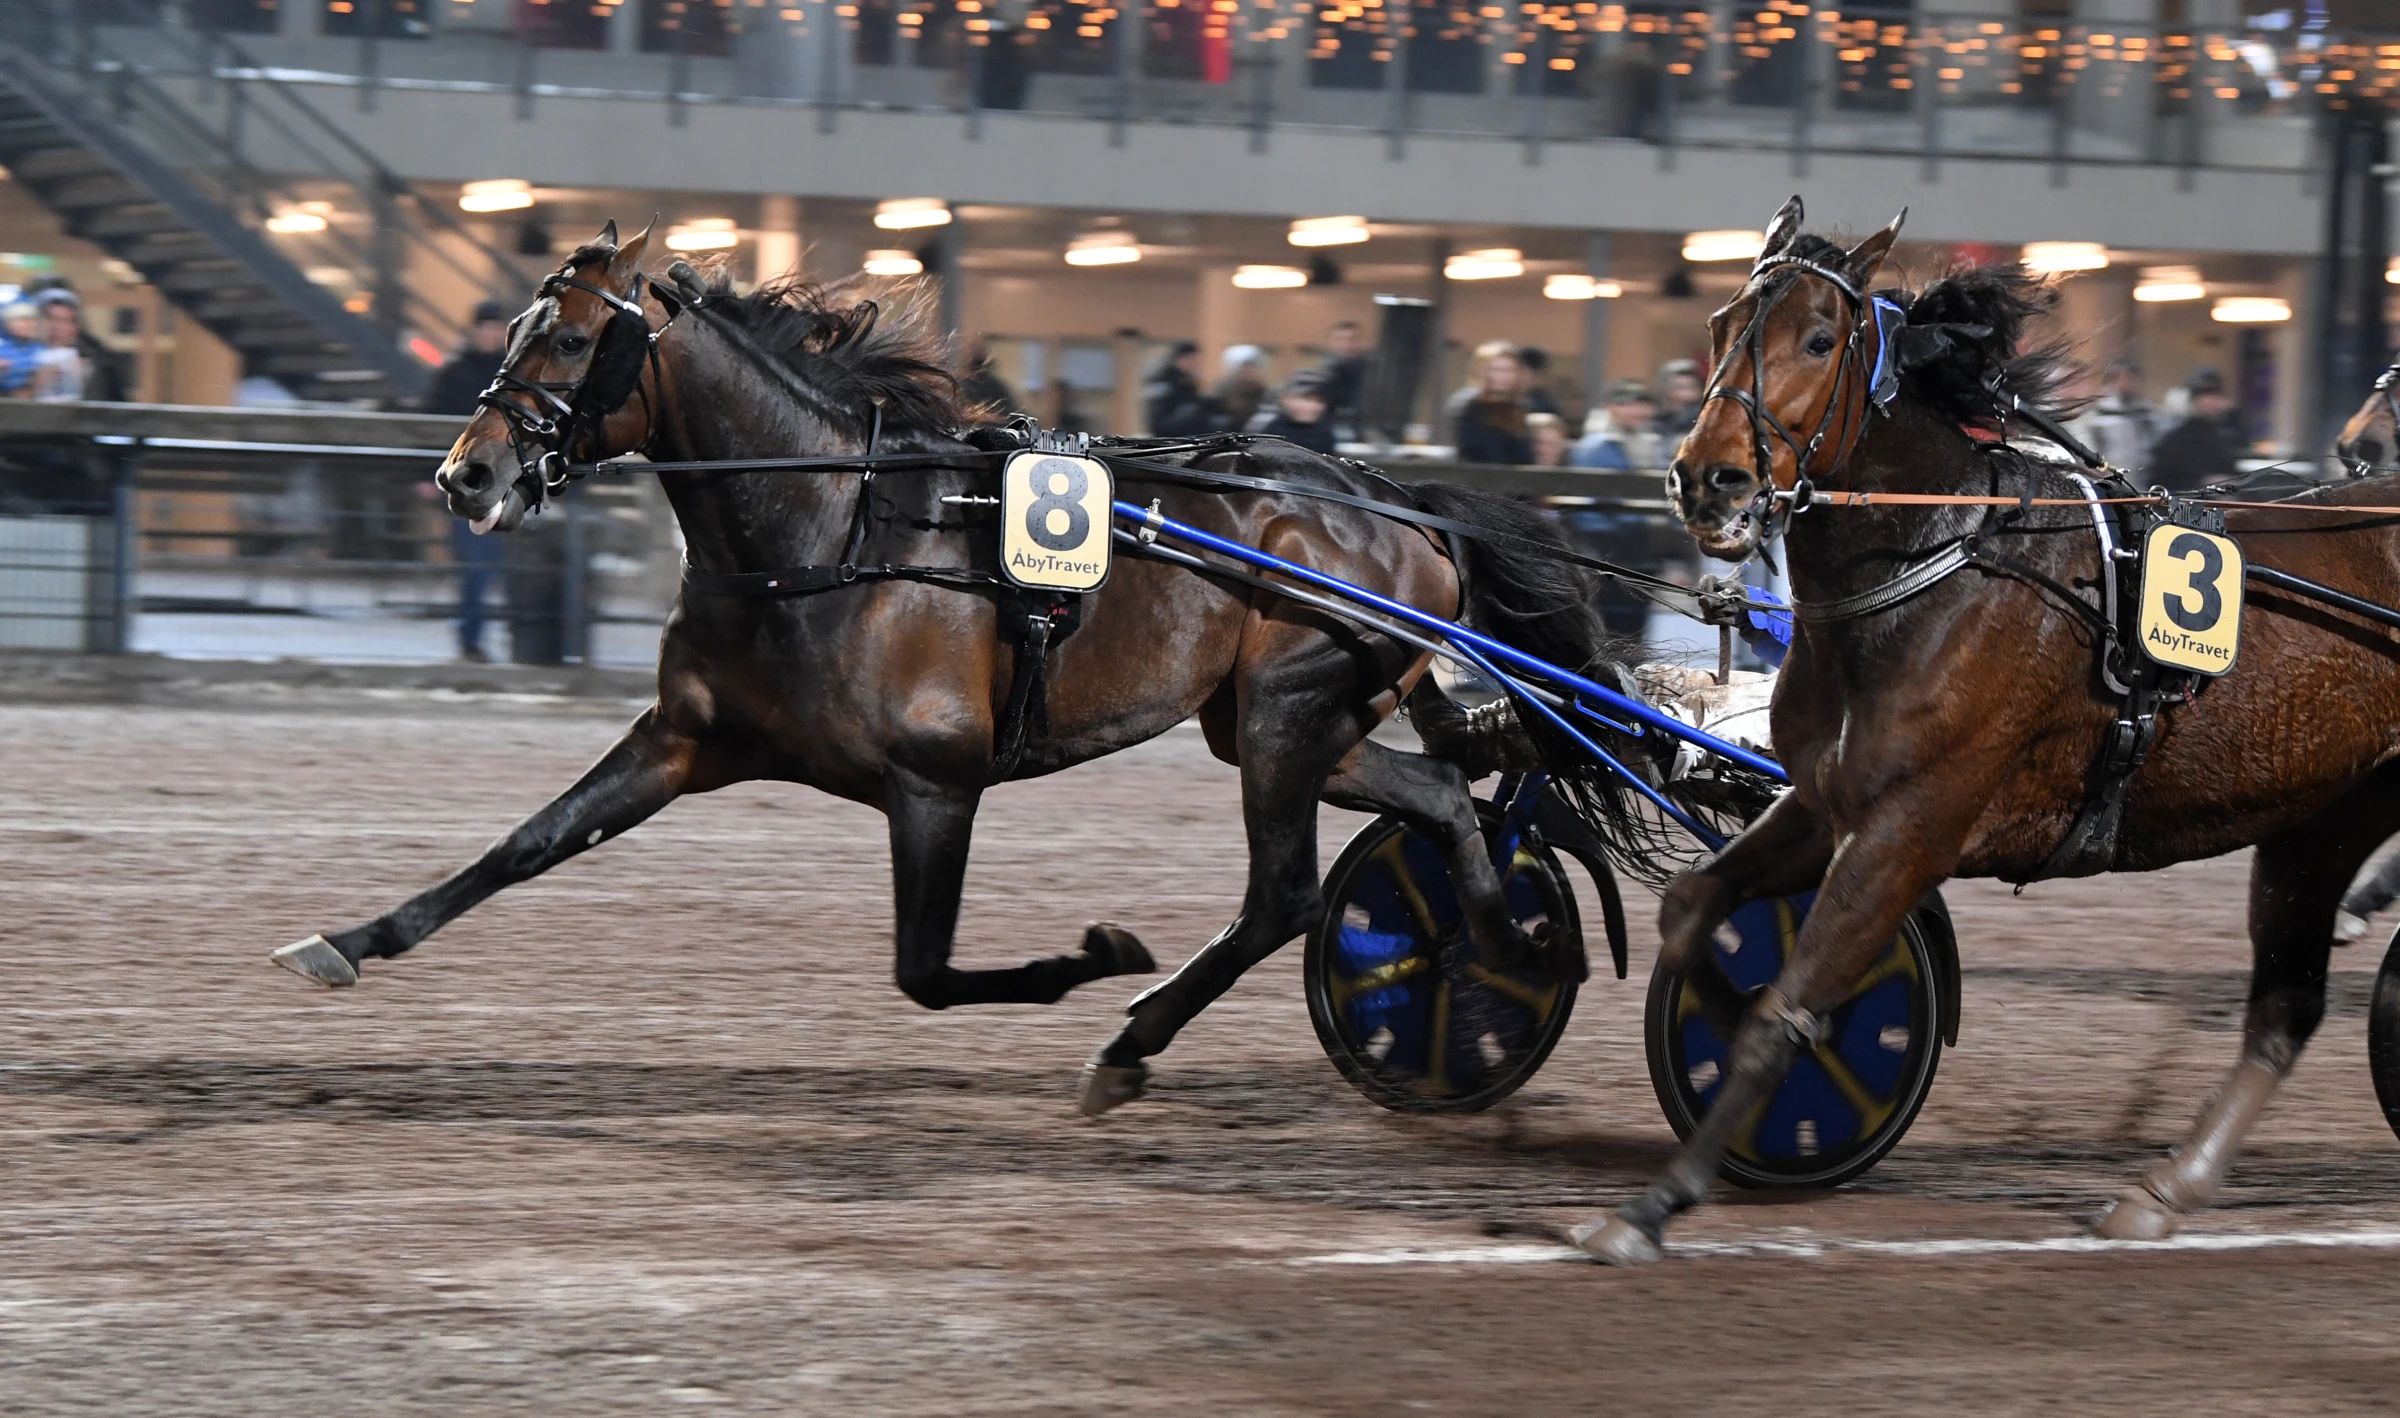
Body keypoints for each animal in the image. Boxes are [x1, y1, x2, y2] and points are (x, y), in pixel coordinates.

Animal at [267, 221, 1612, 1113]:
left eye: (581, 335)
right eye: (514, 326)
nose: (465, 475)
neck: (827, 530)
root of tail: (1399, 500)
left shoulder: (935, 781)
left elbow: (923, 970)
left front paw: (1093, 957)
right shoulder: (685, 737)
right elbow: (527, 843)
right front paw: (349, 937)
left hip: (1289, 712)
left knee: (1282, 895)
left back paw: (1136, 1037)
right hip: (1282, 721)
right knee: (1440, 800)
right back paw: (1497, 937)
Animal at [1574, 191, 2400, 1266]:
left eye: (1819, 336)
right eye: (1721, 325)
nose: (1708, 479)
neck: (1941, 562)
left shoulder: (1910, 827)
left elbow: (1787, 1010)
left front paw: (1657, 1203)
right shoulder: (1830, 805)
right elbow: (1694, 909)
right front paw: (1722, 1025)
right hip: (2321, 821)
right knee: (2286, 1008)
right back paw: (2163, 1191)